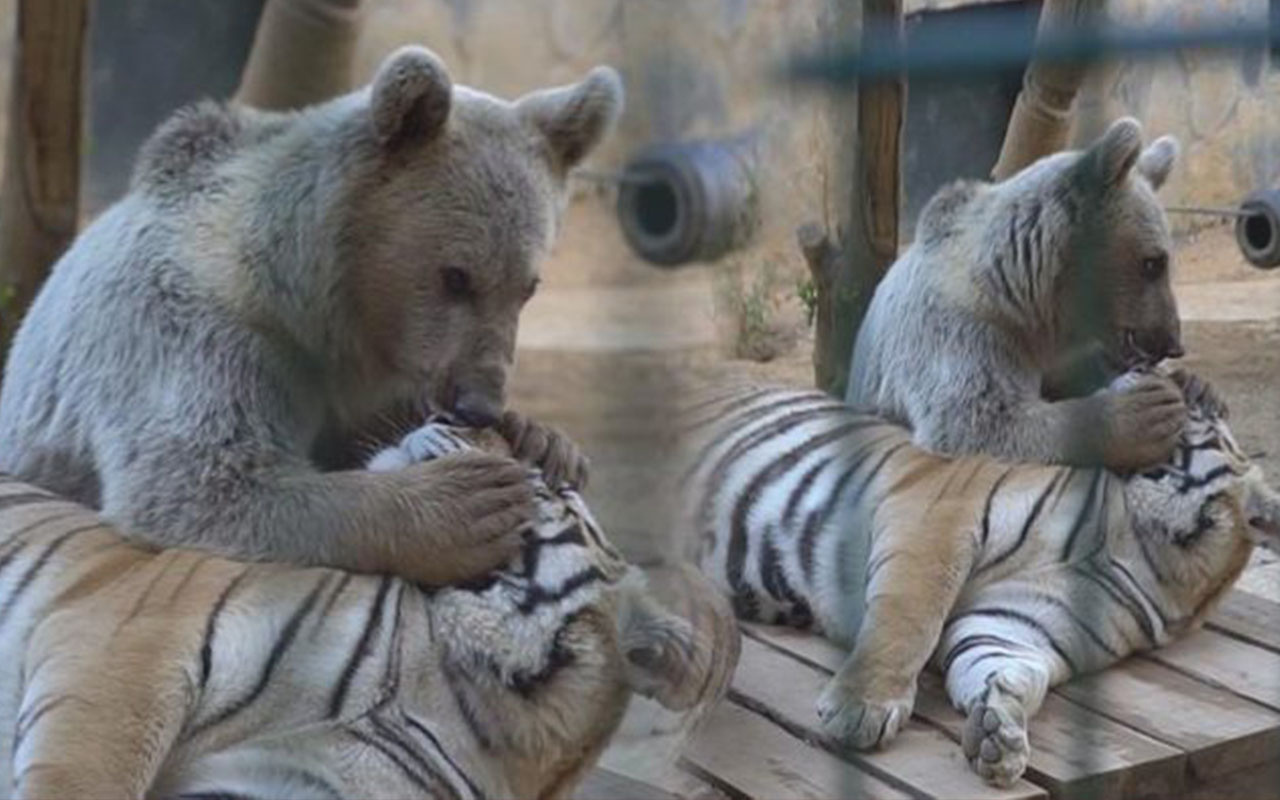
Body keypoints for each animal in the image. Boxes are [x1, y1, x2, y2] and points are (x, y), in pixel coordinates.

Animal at [0, 46, 622, 583]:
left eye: (528, 286)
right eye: (456, 276)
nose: (479, 403)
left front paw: (544, 439)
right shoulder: (193, 331)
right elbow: (202, 482)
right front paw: (465, 502)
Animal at [680, 368, 1280, 788]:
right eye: (1198, 402)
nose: (1168, 371)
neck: (1140, 549)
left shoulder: (1014, 626)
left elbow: (1004, 666)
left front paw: (999, 729)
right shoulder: (940, 512)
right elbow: (911, 617)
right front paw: (861, 710)